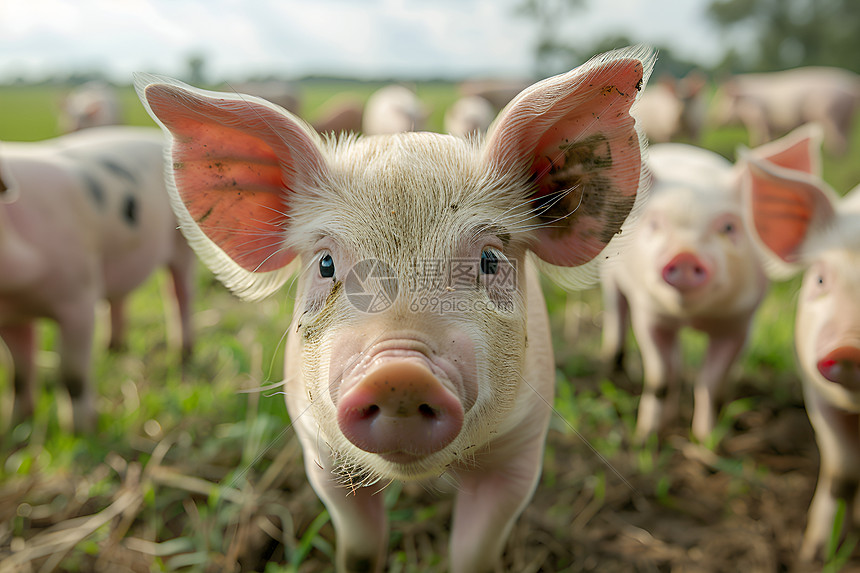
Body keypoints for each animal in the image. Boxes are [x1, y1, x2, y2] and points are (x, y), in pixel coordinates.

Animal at [0, 125, 196, 428]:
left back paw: (183, 354)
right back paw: (113, 350)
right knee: (120, 298)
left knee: (179, 294)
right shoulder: (11, 318)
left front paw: (80, 430)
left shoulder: (79, 299)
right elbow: (18, 377)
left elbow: (73, 376)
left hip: (183, 242)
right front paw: (17, 425)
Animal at [138, 45, 656, 572]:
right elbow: (360, 547)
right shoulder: (321, 454)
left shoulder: (521, 451)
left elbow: (474, 553)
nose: (399, 373)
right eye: (325, 264)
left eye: (490, 260)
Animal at [708, 67, 860, 154]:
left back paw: (832, 155)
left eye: (722, 100)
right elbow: (770, 138)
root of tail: (851, 86)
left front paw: (755, 148)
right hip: (848, 117)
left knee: (836, 138)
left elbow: (758, 136)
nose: (712, 119)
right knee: (847, 137)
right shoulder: (769, 124)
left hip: (828, 113)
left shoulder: (758, 118)